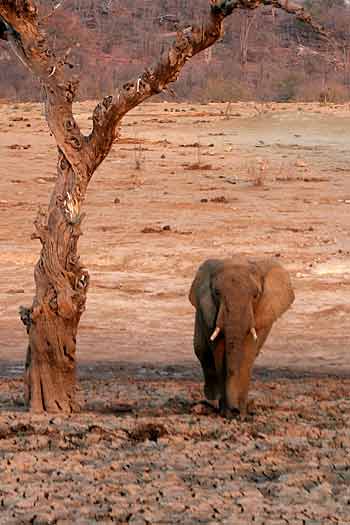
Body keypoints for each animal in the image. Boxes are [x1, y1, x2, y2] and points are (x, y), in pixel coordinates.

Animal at [190, 255, 294, 418]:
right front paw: (226, 413)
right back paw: (211, 398)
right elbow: (218, 352)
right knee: (202, 351)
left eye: (256, 295)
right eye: (217, 293)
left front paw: (241, 414)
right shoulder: (211, 312)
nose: (234, 410)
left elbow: (248, 354)